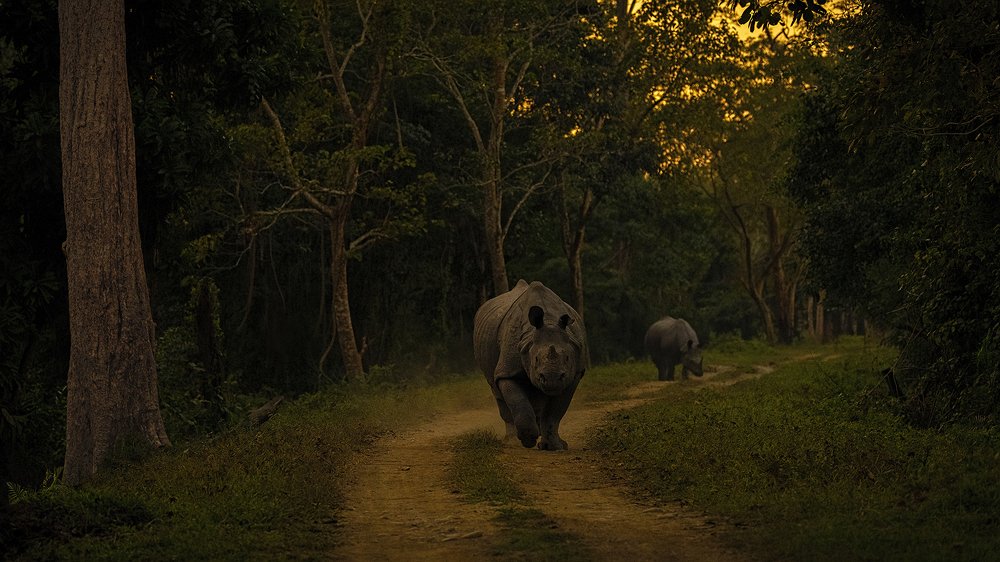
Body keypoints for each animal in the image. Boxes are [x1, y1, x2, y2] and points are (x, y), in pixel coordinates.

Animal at [473, 280, 588, 450]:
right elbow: (517, 401)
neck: (549, 320)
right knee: (496, 390)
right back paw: (511, 440)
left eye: (568, 358)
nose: (552, 378)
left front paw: (554, 446)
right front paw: (527, 440)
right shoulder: (507, 371)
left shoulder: (575, 374)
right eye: (536, 360)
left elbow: (556, 411)